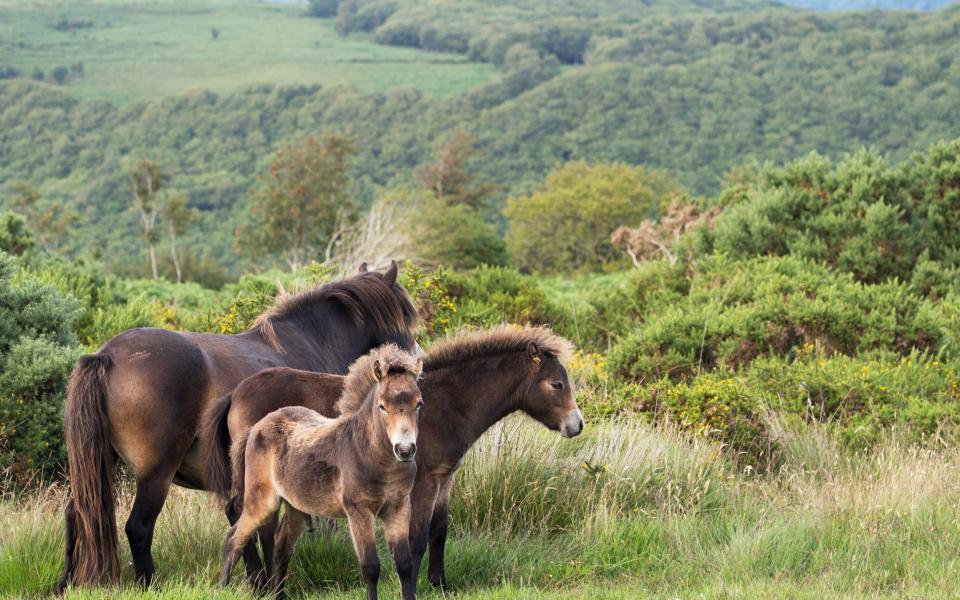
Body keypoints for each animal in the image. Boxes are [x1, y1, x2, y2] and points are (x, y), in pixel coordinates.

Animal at [223, 344, 426, 600]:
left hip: (296, 506)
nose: (405, 449)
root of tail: (255, 428)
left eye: (418, 404)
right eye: (382, 406)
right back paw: (221, 588)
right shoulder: (359, 511)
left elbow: (404, 564)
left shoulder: (398, 507)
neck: (377, 461)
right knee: (234, 539)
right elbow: (370, 567)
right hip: (262, 501)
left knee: (281, 545)